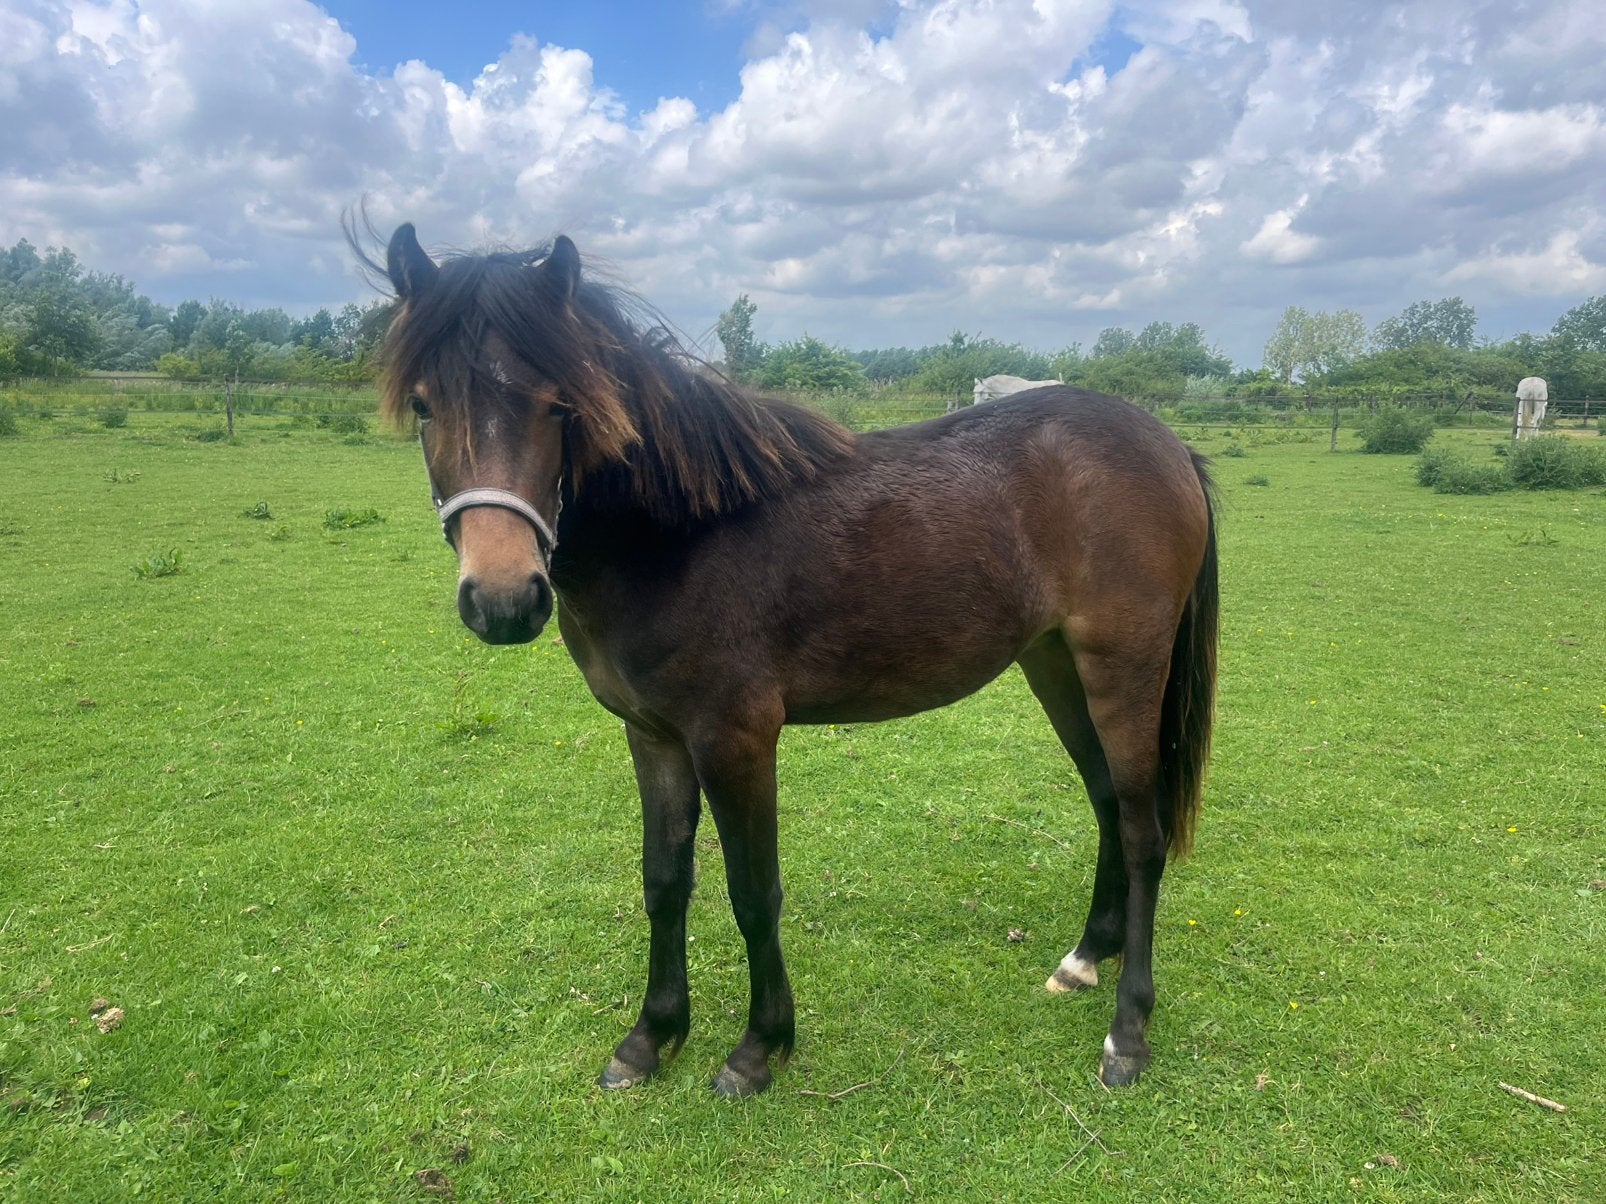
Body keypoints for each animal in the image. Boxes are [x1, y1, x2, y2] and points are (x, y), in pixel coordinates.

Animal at [370, 223, 1219, 1097]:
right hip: (1056, 666)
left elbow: (753, 891)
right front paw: (650, 1037)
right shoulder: (654, 736)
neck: (681, 532)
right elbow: (664, 881)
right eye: (426, 405)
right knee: (1108, 803)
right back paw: (1084, 960)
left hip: (1122, 667)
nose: (505, 599)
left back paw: (1127, 1033)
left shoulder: (735, 739)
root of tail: (1168, 445)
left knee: (1144, 831)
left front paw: (758, 1047)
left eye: (559, 405)